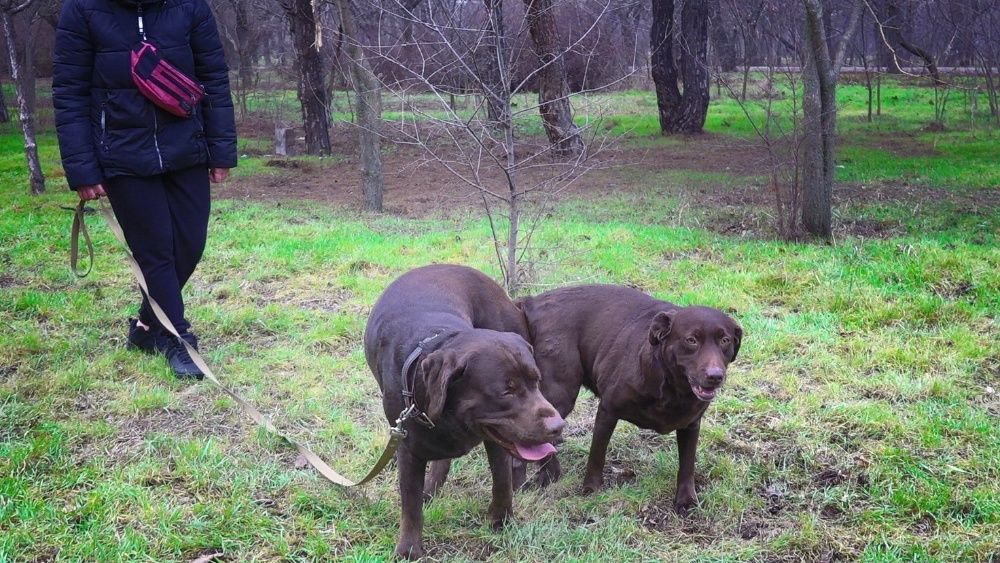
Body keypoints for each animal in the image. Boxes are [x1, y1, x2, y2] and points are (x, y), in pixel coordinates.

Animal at [364, 266, 568, 560]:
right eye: (506, 391)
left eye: (536, 381)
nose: (557, 426)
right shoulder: (407, 448)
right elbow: (411, 503)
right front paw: (409, 549)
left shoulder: (496, 438)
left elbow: (502, 480)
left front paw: (501, 520)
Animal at [516, 286, 744, 516]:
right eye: (691, 340)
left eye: (725, 340)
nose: (715, 376)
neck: (672, 388)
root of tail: (533, 301)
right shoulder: (607, 412)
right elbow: (597, 455)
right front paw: (591, 489)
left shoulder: (691, 425)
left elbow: (687, 464)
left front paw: (686, 499)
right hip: (561, 391)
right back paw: (544, 474)